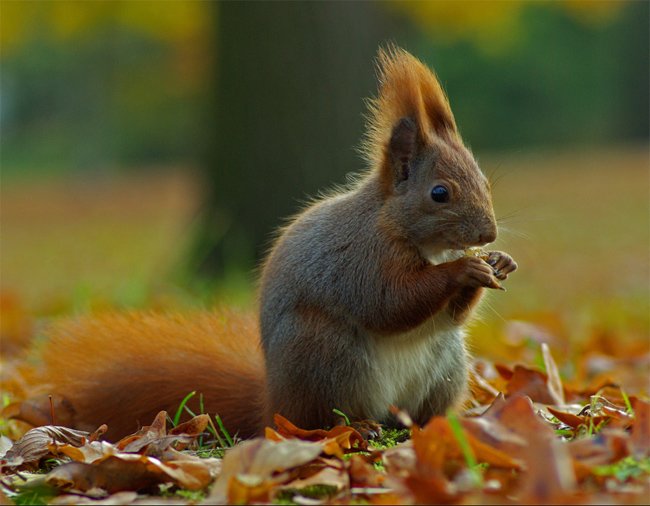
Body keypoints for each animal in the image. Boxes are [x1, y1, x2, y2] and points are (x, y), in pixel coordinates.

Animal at [12, 48, 512, 442]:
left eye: (486, 182)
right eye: (439, 193)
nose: (487, 235)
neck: (399, 227)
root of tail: (274, 403)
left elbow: (447, 313)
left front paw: (499, 262)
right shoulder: (360, 259)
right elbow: (390, 302)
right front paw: (464, 270)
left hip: (446, 364)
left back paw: (436, 424)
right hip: (326, 355)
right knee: (324, 419)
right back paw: (358, 426)